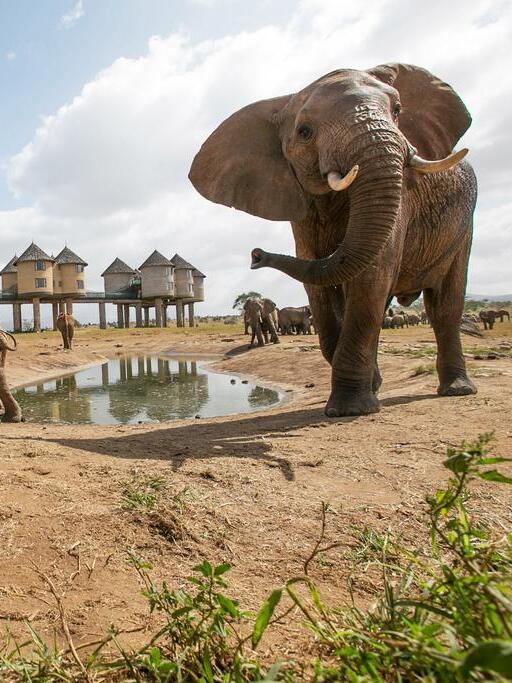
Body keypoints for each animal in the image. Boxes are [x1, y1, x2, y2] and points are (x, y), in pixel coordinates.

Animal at [190, 63, 477, 416]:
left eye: (397, 110)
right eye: (305, 131)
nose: (255, 255)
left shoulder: (403, 200)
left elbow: (371, 278)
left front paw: (350, 409)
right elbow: (320, 287)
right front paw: (365, 394)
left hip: (464, 226)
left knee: (445, 306)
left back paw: (457, 390)